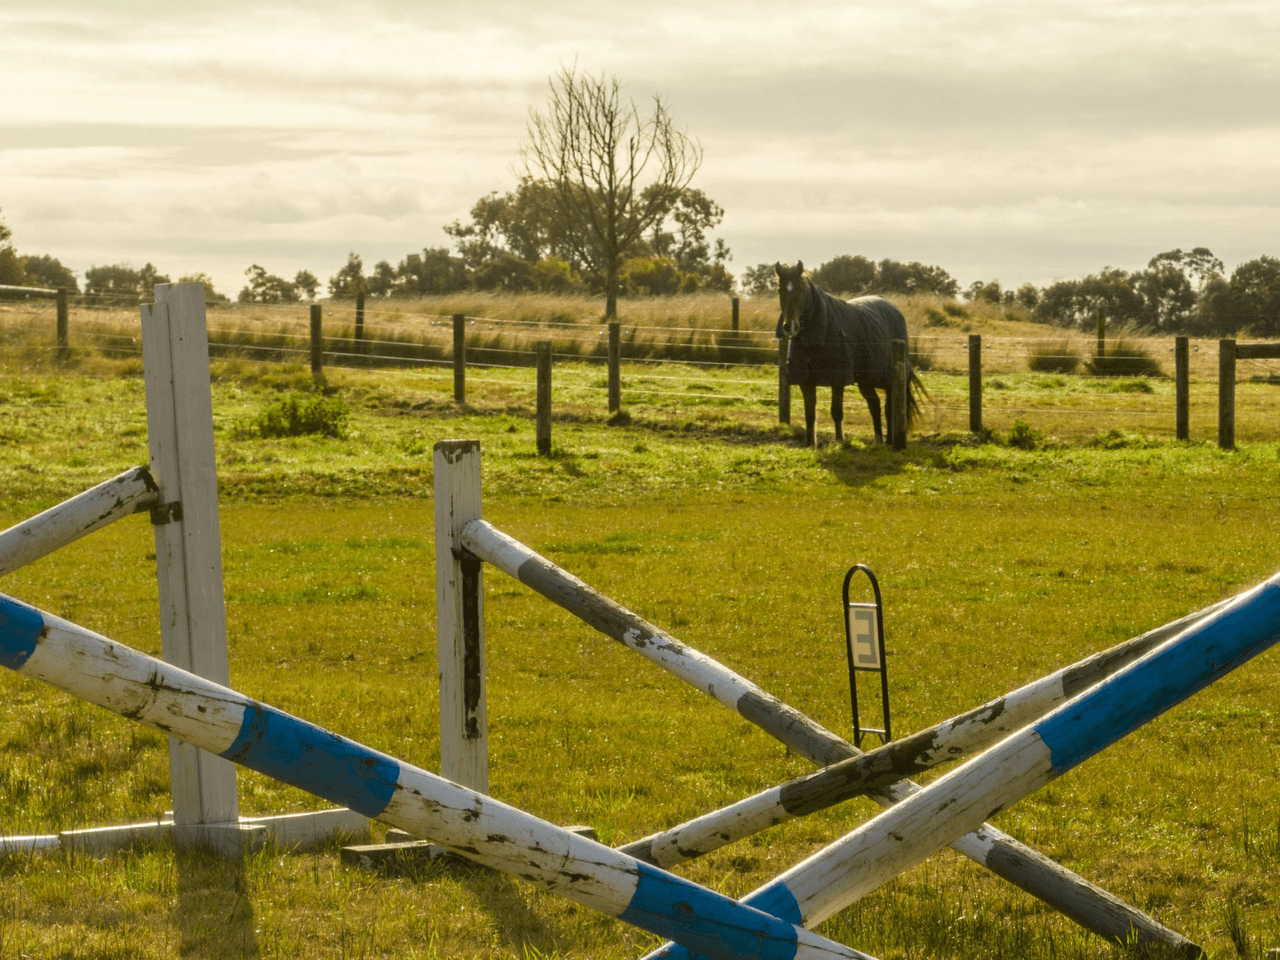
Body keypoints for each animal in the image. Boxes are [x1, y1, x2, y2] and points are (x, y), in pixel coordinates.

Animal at [773, 259, 926, 448]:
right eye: (779, 290)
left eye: (800, 290)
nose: (789, 327)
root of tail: (894, 308)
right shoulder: (805, 380)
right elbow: (810, 413)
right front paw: (810, 444)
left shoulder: (838, 379)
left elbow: (836, 411)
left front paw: (840, 440)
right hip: (866, 381)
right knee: (875, 404)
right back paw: (878, 440)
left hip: (891, 380)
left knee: (890, 406)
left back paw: (890, 441)